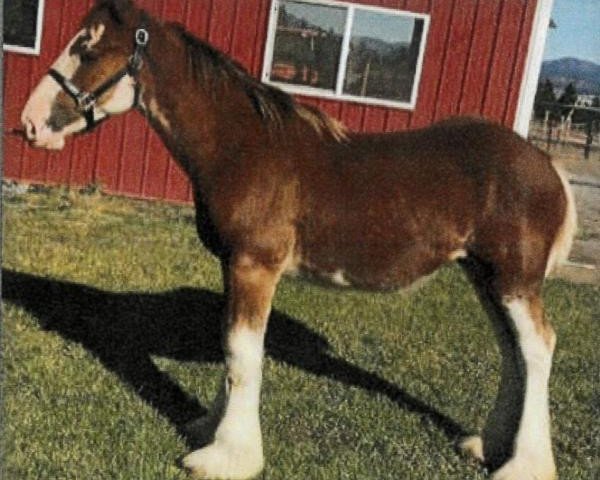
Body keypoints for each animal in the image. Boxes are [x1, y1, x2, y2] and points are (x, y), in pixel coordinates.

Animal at [21, 1, 576, 478]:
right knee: (513, 354)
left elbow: (242, 355)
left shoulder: (254, 265)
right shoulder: (234, 266)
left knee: (537, 349)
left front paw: (227, 457)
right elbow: (231, 347)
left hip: (514, 280)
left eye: (87, 49)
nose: (29, 123)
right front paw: (210, 429)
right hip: (486, 276)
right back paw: (489, 445)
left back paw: (523, 465)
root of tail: (547, 165)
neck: (243, 147)